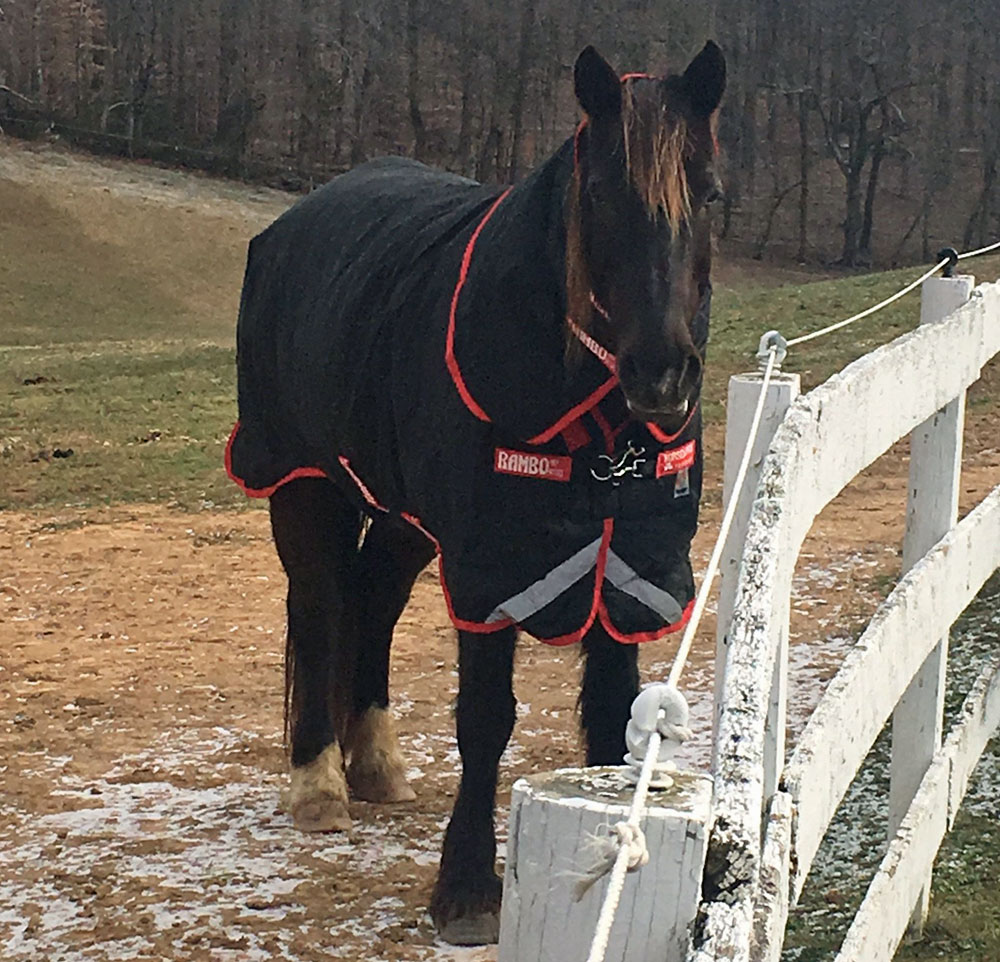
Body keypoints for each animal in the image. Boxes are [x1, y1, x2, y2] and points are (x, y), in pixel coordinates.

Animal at [227, 43, 728, 944]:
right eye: (601, 194)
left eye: (709, 192)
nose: (663, 378)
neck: (594, 427)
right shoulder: (492, 570)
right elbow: (486, 719)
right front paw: (465, 888)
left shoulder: (628, 566)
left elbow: (613, 716)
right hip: (304, 480)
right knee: (320, 605)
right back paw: (319, 782)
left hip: (403, 512)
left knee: (375, 599)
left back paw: (376, 762)